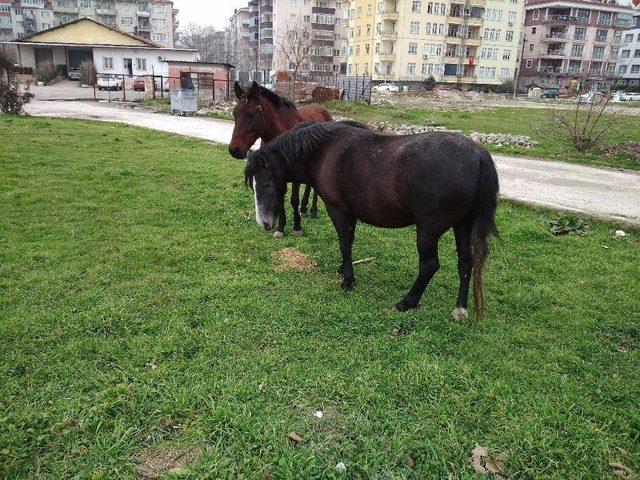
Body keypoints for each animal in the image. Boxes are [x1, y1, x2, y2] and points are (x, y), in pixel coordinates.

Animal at [229, 83, 332, 239]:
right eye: (235, 113)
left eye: (251, 114)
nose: (234, 149)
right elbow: (279, 198)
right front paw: (281, 228)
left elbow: (293, 199)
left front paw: (297, 227)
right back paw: (304, 209)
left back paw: (313, 210)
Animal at [245, 122, 500, 320]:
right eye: (254, 185)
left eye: (266, 183)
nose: (264, 223)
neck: (324, 152)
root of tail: (478, 156)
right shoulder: (351, 213)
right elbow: (349, 241)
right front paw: (343, 270)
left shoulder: (337, 210)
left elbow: (344, 243)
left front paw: (348, 281)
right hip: (462, 225)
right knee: (465, 262)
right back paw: (460, 308)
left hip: (428, 231)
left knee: (429, 266)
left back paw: (407, 302)